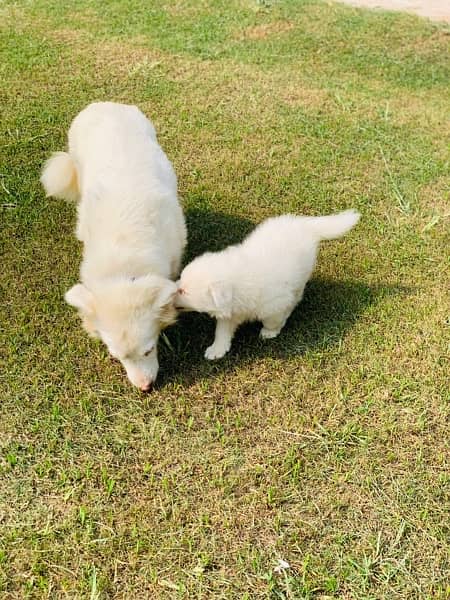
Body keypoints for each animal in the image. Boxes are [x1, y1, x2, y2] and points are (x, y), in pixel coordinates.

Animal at [175, 210, 358, 358]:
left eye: (183, 291)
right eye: (180, 281)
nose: (172, 288)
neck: (238, 284)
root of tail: (302, 223)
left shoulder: (274, 304)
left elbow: (272, 320)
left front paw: (270, 332)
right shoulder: (231, 312)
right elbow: (222, 331)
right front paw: (216, 349)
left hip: (302, 274)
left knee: (297, 294)